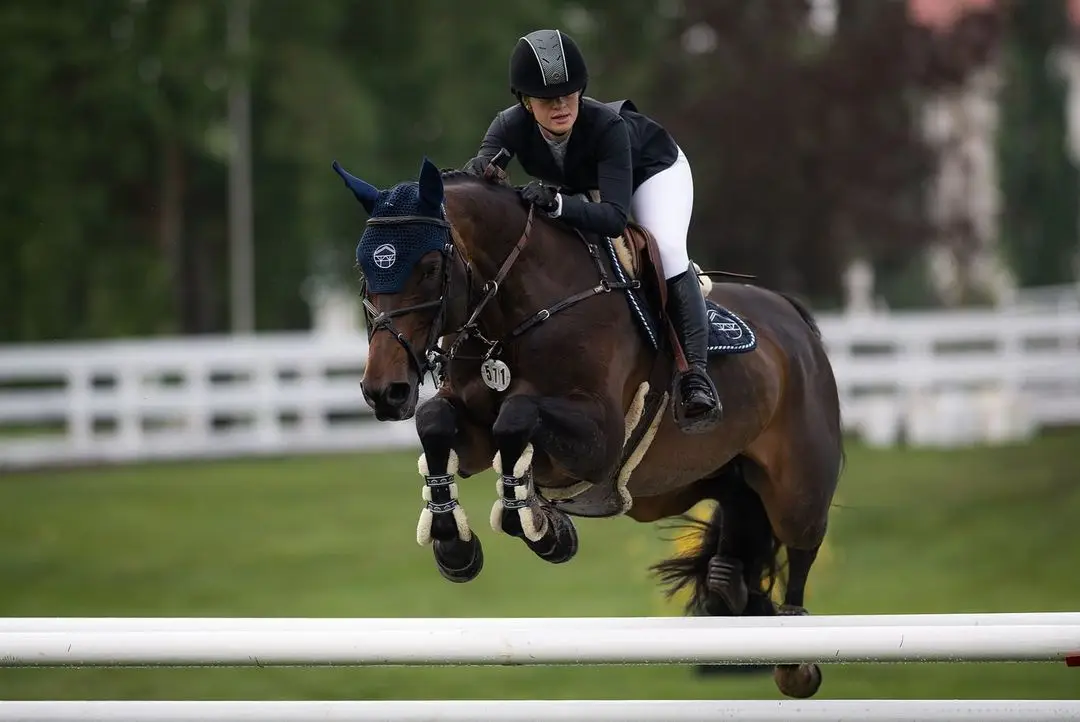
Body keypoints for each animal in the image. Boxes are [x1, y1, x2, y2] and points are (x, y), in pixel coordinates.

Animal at [333, 154, 844, 699]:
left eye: (430, 268)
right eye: (364, 268)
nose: (384, 391)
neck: (519, 310)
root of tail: (794, 317)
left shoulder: (600, 439)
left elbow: (517, 417)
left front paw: (540, 527)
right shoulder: (471, 430)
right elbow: (437, 423)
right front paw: (456, 545)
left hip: (797, 486)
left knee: (801, 544)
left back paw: (795, 658)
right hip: (688, 483)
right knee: (737, 515)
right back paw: (731, 586)